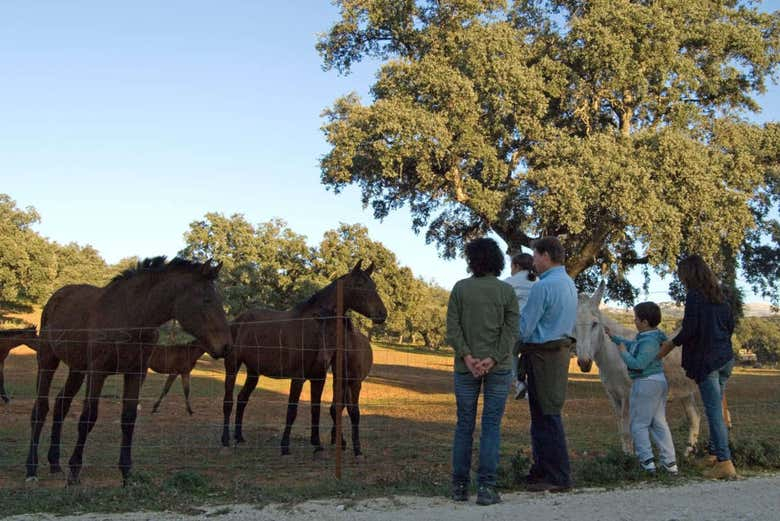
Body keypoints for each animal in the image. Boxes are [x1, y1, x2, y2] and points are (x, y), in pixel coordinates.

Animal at [29, 256, 230, 484]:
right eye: (206, 300)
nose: (226, 346)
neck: (130, 317)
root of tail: (56, 297)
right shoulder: (97, 373)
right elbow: (88, 417)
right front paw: (74, 470)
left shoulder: (136, 373)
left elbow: (129, 418)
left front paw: (126, 473)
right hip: (47, 361)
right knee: (40, 409)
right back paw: (31, 468)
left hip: (77, 370)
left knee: (61, 405)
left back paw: (54, 463)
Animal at [222, 262, 386, 452]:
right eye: (359, 284)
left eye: (374, 285)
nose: (382, 314)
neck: (315, 327)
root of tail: (237, 321)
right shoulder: (298, 377)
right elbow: (292, 411)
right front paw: (285, 445)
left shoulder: (319, 377)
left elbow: (315, 409)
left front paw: (317, 443)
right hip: (232, 366)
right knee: (228, 401)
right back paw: (225, 439)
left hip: (253, 372)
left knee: (242, 399)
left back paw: (239, 436)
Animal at [572, 284, 700, 456]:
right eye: (573, 325)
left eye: (594, 324)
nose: (584, 363)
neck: (613, 356)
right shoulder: (613, 396)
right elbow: (621, 429)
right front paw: (626, 455)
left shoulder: (628, 395)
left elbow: (628, 430)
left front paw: (630, 458)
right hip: (686, 391)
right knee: (694, 418)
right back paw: (689, 452)